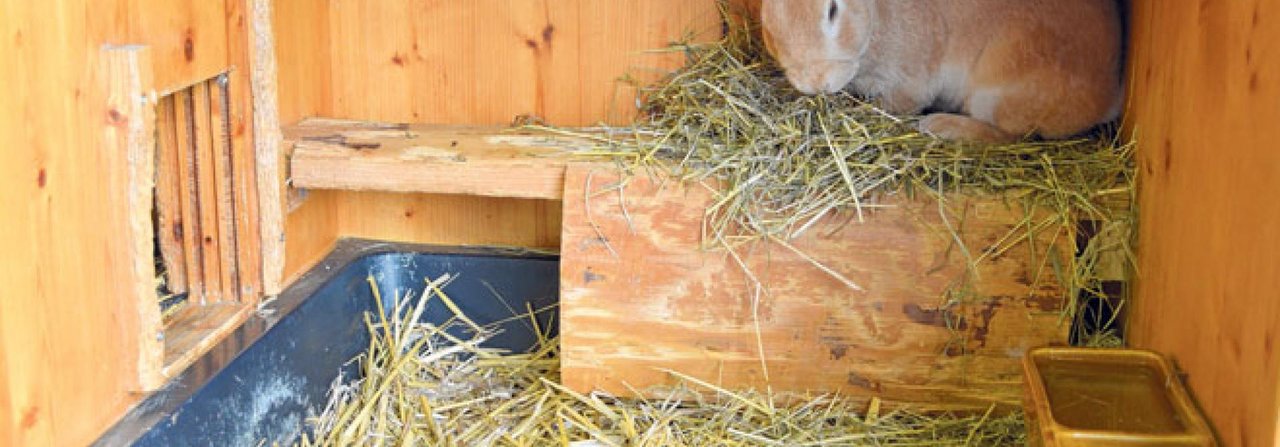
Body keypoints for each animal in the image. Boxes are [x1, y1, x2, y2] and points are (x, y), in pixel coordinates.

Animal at [757, 0, 1121, 142]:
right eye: (770, 22)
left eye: (833, 10)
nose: (815, 82)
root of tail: (1108, 97)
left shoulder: (908, 83)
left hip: (996, 89)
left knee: (1011, 137)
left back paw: (940, 126)